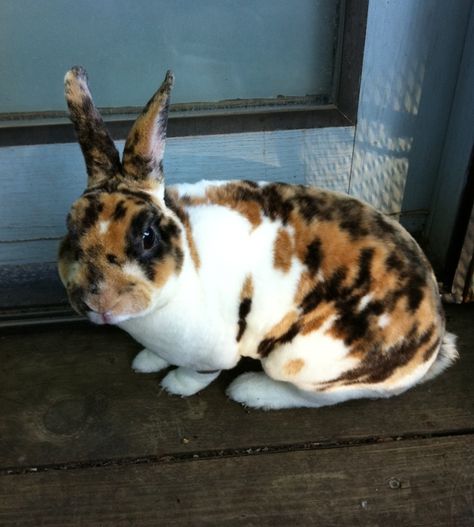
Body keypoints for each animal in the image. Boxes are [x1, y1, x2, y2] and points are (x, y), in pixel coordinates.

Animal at [57, 67, 458, 412]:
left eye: (146, 236)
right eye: (70, 227)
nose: (99, 301)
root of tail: (432, 347)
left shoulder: (212, 353)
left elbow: (198, 375)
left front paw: (174, 384)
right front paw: (146, 361)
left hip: (299, 359)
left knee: (317, 397)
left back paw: (249, 391)